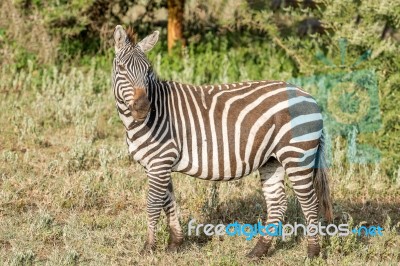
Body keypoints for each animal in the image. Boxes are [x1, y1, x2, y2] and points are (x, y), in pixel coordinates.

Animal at [111, 25, 332, 260]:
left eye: (148, 71)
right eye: (122, 68)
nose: (143, 108)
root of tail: (309, 96)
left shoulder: (160, 162)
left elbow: (153, 204)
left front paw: (148, 247)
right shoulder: (159, 164)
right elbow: (168, 202)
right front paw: (175, 243)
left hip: (296, 155)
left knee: (309, 202)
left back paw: (312, 252)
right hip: (272, 160)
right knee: (277, 204)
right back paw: (258, 251)